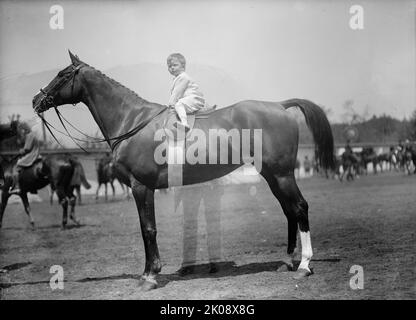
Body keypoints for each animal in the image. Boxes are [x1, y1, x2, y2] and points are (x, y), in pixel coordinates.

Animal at [32, 53, 334, 292]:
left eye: (62, 74)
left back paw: (304, 265)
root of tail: (280, 106)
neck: (132, 122)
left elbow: (148, 229)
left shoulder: (141, 187)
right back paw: (288, 261)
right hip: (272, 176)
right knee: (289, 211)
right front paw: (149, 272)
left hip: (282, 174)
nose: (36, 100)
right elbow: (147, 229)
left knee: (300, 207)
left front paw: (150, 276)